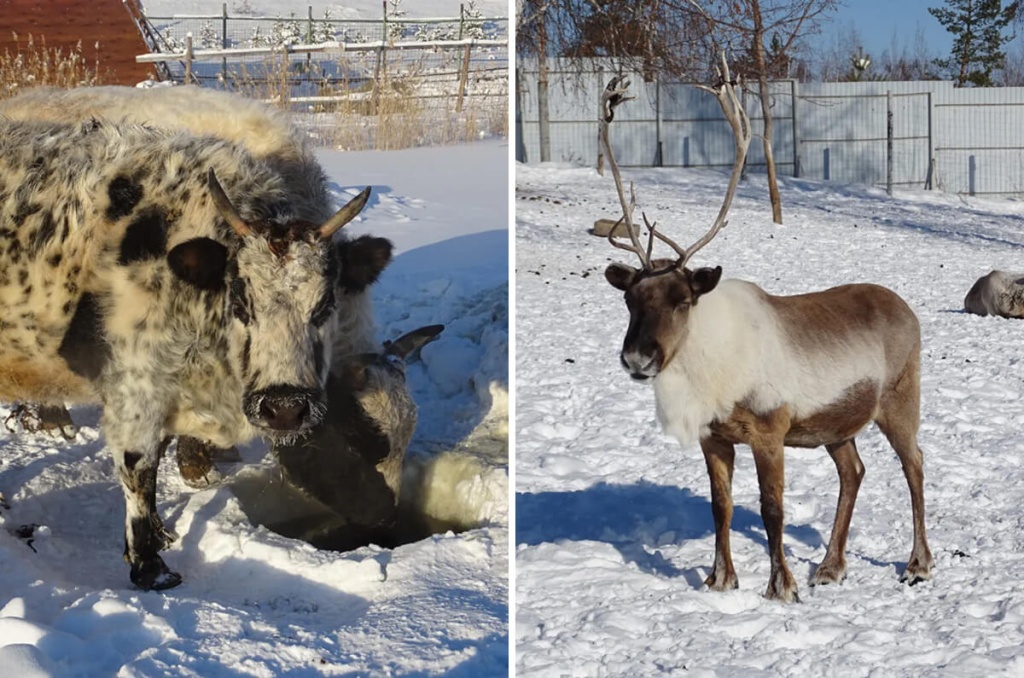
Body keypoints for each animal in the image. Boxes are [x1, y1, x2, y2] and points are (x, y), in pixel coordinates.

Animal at [0, 116, 389, 589]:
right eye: (240, 300)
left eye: (325, 304)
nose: (284, 408)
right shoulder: (135, 389)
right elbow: (139, 469)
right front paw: (150, 566)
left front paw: (161, 535)